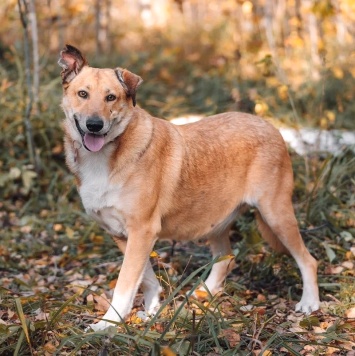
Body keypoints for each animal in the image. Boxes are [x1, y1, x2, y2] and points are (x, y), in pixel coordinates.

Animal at [57, 44, 320, 330]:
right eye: (83, 94)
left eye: (111, 97)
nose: (94, 125)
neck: (106, 157)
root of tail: (271, 126)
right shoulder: (123, 235)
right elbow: (146, 279)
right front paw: (151, 311)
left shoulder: (142, 231)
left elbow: (125, 284)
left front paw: (109, 324)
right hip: (214, 220)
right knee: (227, 257)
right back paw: (204, 292)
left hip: (276, 215)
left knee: (308, 260)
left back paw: (310, 303)